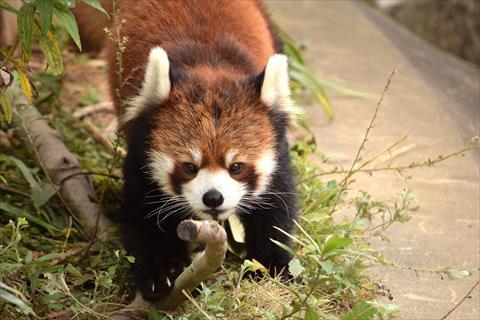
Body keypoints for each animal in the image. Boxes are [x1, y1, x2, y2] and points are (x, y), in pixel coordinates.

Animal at [107, 0, 298, 302]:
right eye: (189, 167)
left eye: (236, 167)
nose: (213, 198)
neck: (208, 65)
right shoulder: (141, 149)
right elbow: (145, 218)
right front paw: (162, 272)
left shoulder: (277, 150)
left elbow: (275, 212)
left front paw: (271, 268)